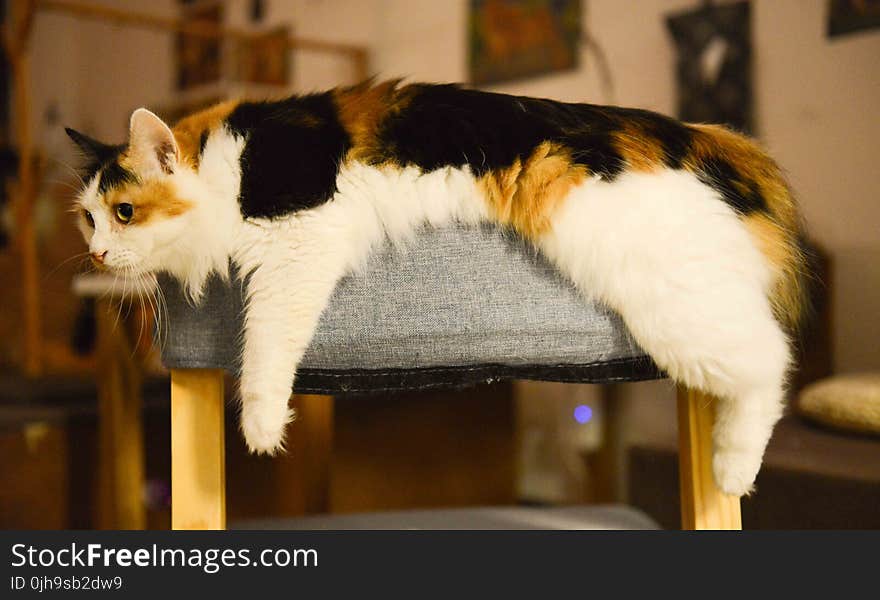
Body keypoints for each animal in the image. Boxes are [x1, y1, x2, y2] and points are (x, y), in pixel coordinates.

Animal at [67, 79, 812, 494]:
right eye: (88, 217)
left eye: (124, 212)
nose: (97, 252)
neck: (224, 166)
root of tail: (696, 135)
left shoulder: (297, 239)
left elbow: (265, 344)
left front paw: (261, 425)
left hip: (669, 297)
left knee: (771, 363)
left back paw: (733, 471)